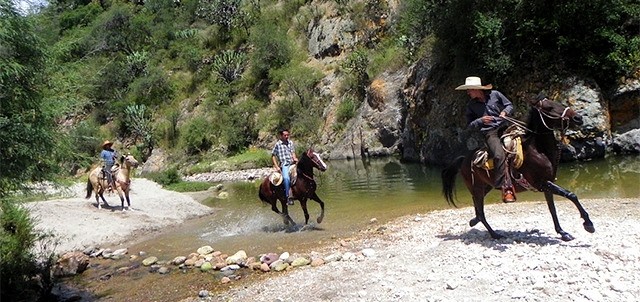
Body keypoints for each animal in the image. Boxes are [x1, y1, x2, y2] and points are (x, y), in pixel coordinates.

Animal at [440, 96, 596, 241]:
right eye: (549, 108)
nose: (578, 118)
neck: (538, 150)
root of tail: (464, 159)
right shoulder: (541, 183)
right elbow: (571, 195)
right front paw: (588, 224)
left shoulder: (548, 184)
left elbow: (552, 209)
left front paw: (562, 232)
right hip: (476, 187)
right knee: (481, 212)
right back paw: (495, 234)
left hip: (486, 186)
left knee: (478, 208)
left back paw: (474, 221)